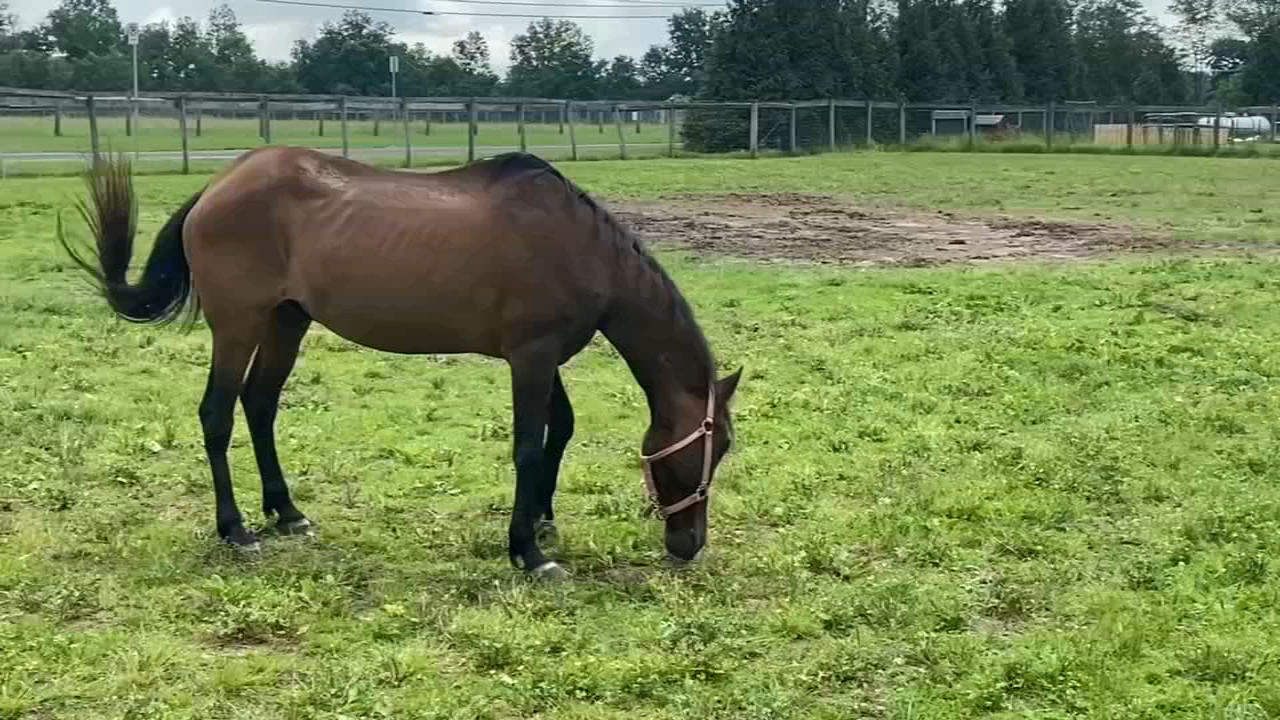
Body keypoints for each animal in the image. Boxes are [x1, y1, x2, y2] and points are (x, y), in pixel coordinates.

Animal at [56, 147, 742, 580]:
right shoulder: (531, 357)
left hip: (286, 322)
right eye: (710, 450)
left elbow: (560, 431)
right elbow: (528, 445)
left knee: (260, 405)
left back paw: (287, 513)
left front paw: (542, 522)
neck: (579, 246)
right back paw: (237, 530)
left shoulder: (546, 359)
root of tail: (218, 186)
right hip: (238, 325)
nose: (690, 546)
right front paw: (528, 551)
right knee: (218, 415)